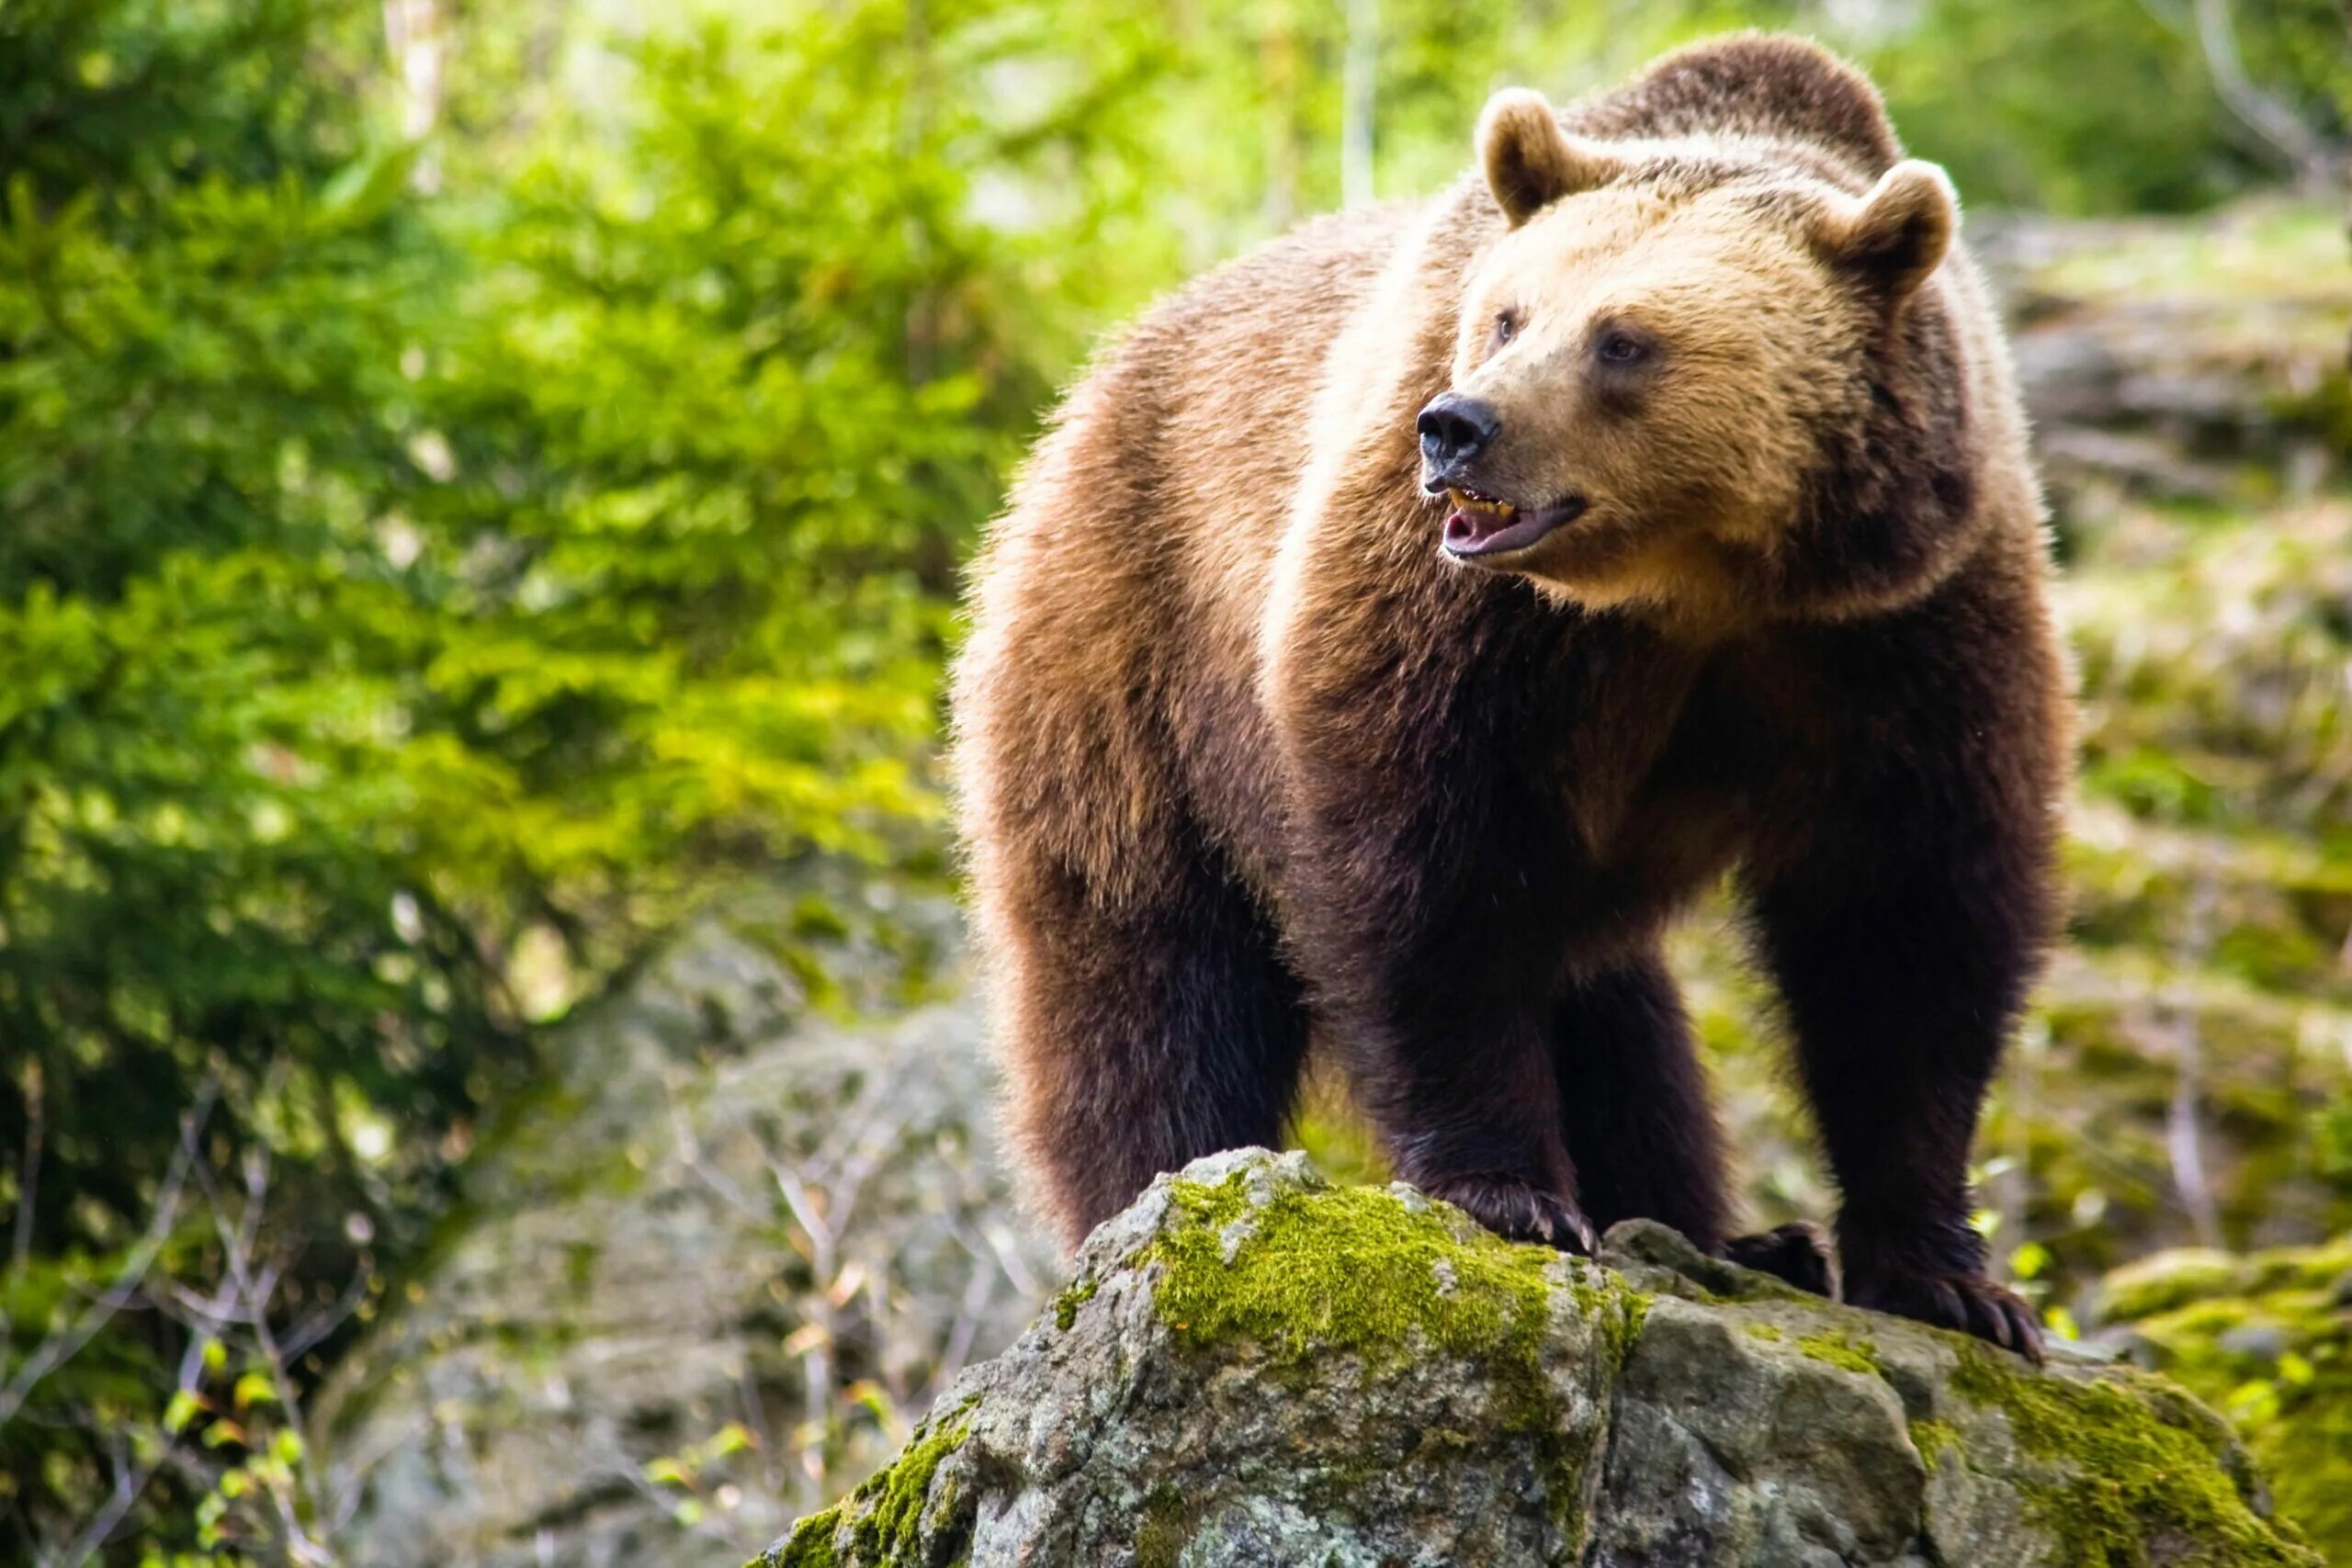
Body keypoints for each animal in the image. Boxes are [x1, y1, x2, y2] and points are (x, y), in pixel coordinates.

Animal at [945, 30, 2069, 1354]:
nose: (1456, 428)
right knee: (1145, 971)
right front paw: (1506, 1190)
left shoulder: (1896, 629)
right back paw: (1154, 1185)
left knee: (1618, 1016)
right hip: (1127, 647)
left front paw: (1949, 1276)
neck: (1695, 585)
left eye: (1624, 339)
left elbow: (1906, 921)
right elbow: (1426, 877)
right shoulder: (1464, 625)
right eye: (1505, 314)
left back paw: (1730, 1232)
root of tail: (1093, 386)